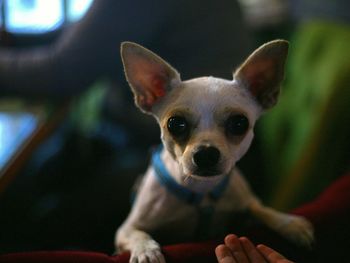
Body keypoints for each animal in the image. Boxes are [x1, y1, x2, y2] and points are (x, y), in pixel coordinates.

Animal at [115, 40, 314, 263]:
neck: (202, 190)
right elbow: (138, 234)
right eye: (175, 124)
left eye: (239, 123)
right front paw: (146, 250)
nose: (206, 153)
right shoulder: (125, 229)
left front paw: (289, 223)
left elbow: (262, 210)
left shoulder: (247, 204)